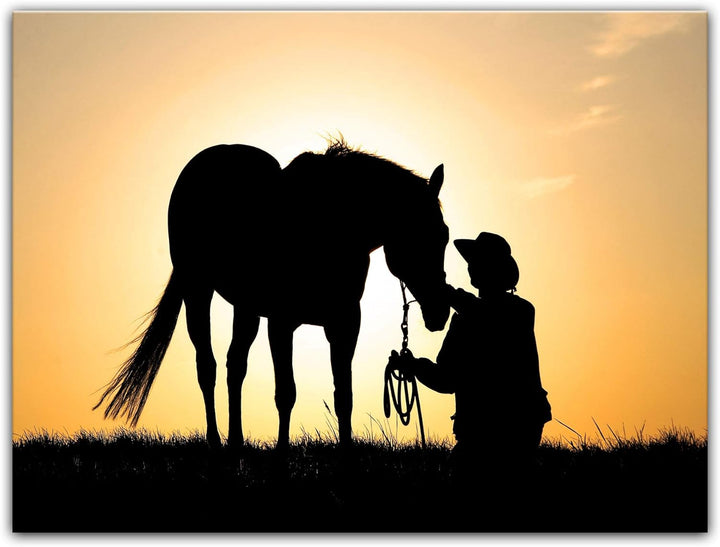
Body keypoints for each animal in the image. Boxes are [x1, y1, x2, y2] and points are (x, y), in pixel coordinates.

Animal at [94, 140, 450, 449]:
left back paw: (236, 442)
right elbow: (286, 394)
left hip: (246, 308)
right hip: (197, 289)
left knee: (235, 366)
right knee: (207, 366)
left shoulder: (345, 323)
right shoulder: (281, 323)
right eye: (417, 236)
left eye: (444, 235)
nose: (440, 312)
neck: (327, 224)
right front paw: (281, 453)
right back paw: (216, 442)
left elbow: (343, 396)